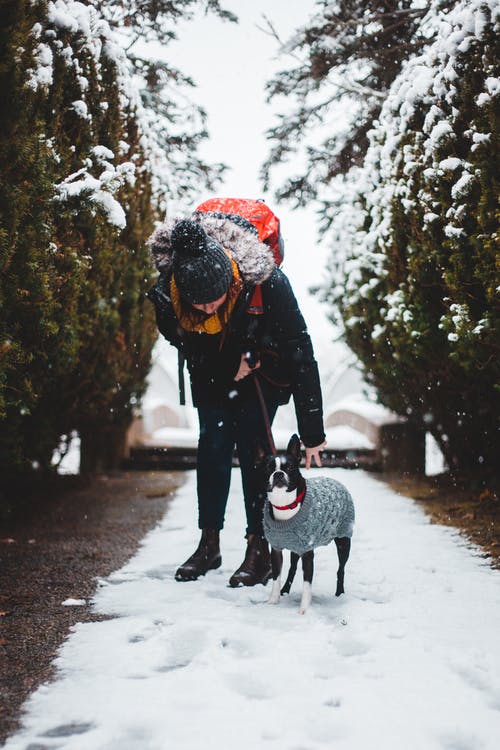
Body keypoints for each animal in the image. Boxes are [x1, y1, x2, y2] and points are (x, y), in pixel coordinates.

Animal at [258, 434, 356, 616]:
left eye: (290, 467)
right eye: (268, 468)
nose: (278, 473)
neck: (285, 505)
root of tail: (334, 480)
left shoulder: (307, 553)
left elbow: (307, 584)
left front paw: (303, 609)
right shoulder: (276, 549)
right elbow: (276, 576)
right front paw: (273, 601)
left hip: (343, 541)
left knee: (341, 569)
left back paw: (339, 593)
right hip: (296, 549)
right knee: (292, 568)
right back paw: (285, 590)